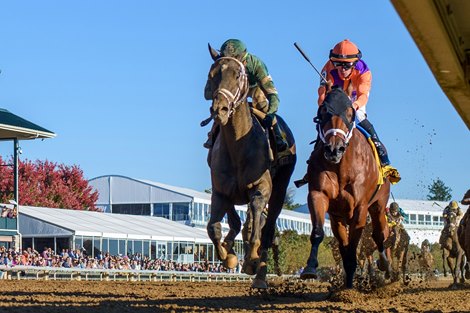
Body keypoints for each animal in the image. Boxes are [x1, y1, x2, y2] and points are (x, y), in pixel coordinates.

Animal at [204, 44, 296, 288]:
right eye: (212, 75)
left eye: (238, 75)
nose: (220, 109)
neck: (238, 148)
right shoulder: (220, 190)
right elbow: (215, 227)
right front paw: (228, 255)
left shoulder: (261, 186)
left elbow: (255, 220)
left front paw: (251, 258)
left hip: (280, 188)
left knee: (267, 228)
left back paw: (260, 275)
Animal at [298, 88, 392, 288]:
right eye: (323, 112)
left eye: (350, 114)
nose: (334, 149)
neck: (341, 167)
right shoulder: (321, 197)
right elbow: (320, 233)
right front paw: (311, 268)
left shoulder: (360, 208)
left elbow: (353, 248)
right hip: (338, 218)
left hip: (379, 205)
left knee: (380, 234)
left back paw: (386, 266)